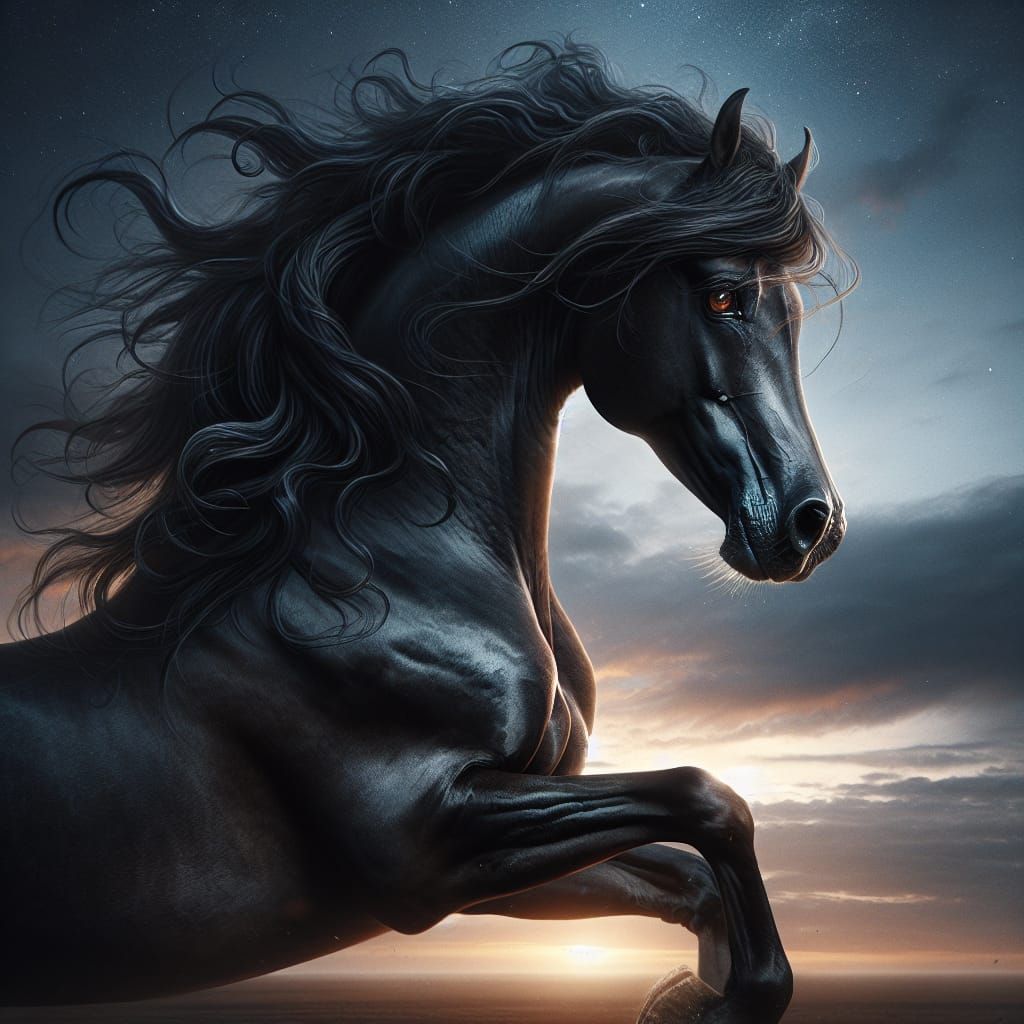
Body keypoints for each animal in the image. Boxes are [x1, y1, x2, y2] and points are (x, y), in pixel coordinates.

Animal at [1, 42, 853, 1022]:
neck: (379, 567)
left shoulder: (495, 858)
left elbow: (694, 876)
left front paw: (687, 995)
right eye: (722, 299)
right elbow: (711, 801)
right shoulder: (427, 841)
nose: (813, 524)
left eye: (791, 313)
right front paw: (724, 996)